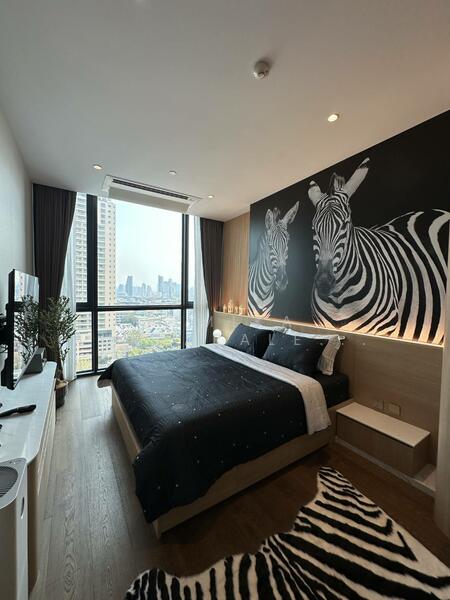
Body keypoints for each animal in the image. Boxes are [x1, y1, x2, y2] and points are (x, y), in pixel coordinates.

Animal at [308, 158, 449, 344]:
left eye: (345, 225)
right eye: (313, 229)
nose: (324, 283)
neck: (339, 298)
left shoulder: (384, 329)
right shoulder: (320, 325)